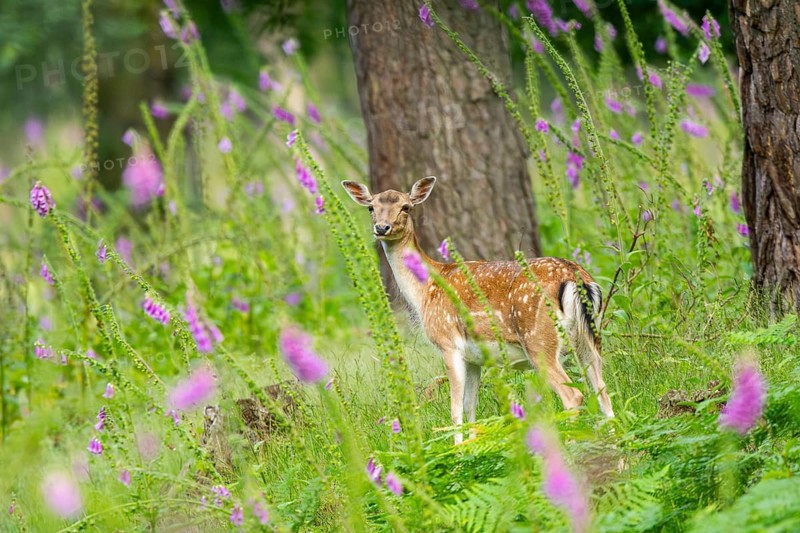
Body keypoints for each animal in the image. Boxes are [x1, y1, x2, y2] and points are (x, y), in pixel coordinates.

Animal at [341, 176, 614, 443]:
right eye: (371, 207)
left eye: (406, 207)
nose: (382, 228)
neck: (425, 292)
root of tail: (575, 276)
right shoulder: (474, 358)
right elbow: (470, 407)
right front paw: (473, 445)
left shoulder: (448, 343)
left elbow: (455, 411)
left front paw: (458, 450)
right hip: (590, 337)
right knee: (603, 391)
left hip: (539, 340)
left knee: (574, 396)